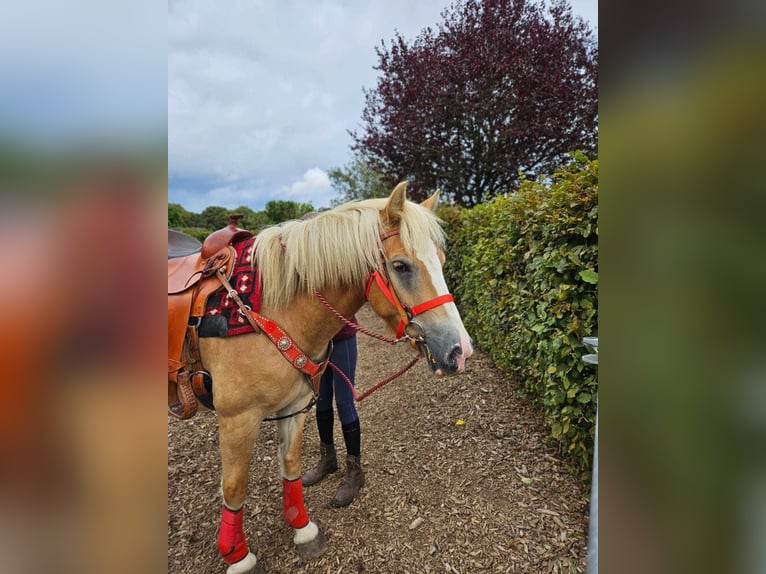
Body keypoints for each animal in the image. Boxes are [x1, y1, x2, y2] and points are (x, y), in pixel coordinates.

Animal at [178, 182, 474, 572]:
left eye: (440, 260)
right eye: (400, 266)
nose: (460, 350)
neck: (271, 308)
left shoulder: (294, 407)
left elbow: (289, 466)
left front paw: (303, 530)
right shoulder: (237, 418)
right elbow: (235, 486)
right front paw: (238, 556)